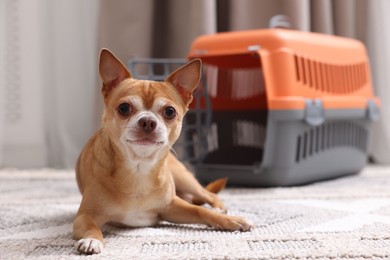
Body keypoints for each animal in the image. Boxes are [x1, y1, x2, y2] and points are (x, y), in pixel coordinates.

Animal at [72, 48, 253, 254]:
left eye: (170, 112)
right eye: (124, 108)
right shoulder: (85, 216)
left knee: (208, 195)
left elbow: (200, 210)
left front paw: (229, 220)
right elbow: (92, 227)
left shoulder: (172, 206)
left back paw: (218, 208)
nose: (147, 121)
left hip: (185, 179)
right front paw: (91, 240)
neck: (139, 169)